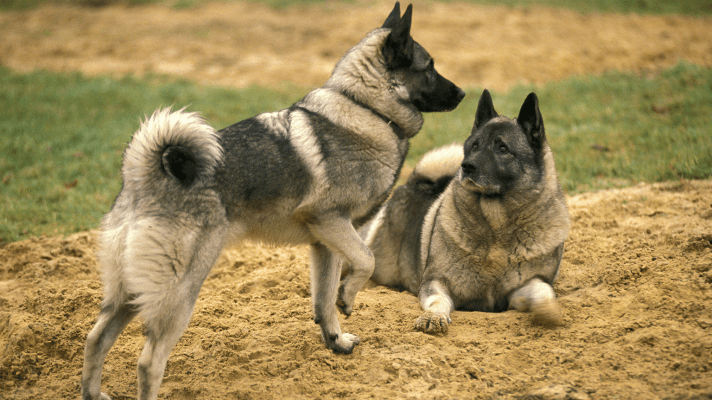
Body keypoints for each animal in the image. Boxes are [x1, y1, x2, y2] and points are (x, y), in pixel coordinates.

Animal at [80, 3, 464, 400]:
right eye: (429, 67)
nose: (463, 93)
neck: (365, 108)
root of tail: (143, 176)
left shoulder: (325, 244)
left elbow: (323, 298)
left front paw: (336, 340)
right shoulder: (331, 221)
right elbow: (365, 262)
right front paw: (348, 297)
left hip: (129, 291)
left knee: (95, 340)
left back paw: (92, 392)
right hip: (179, 292)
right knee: (148, 362)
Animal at [358, 89, 572, 332]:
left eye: (503, 149)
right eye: (474, 146)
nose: (466, 165)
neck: (497, 226)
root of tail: (414, 182)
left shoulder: (522, 288)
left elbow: (543, 291)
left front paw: (549, 312)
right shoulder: (436, 282)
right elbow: (438, 300)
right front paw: (434, 317)